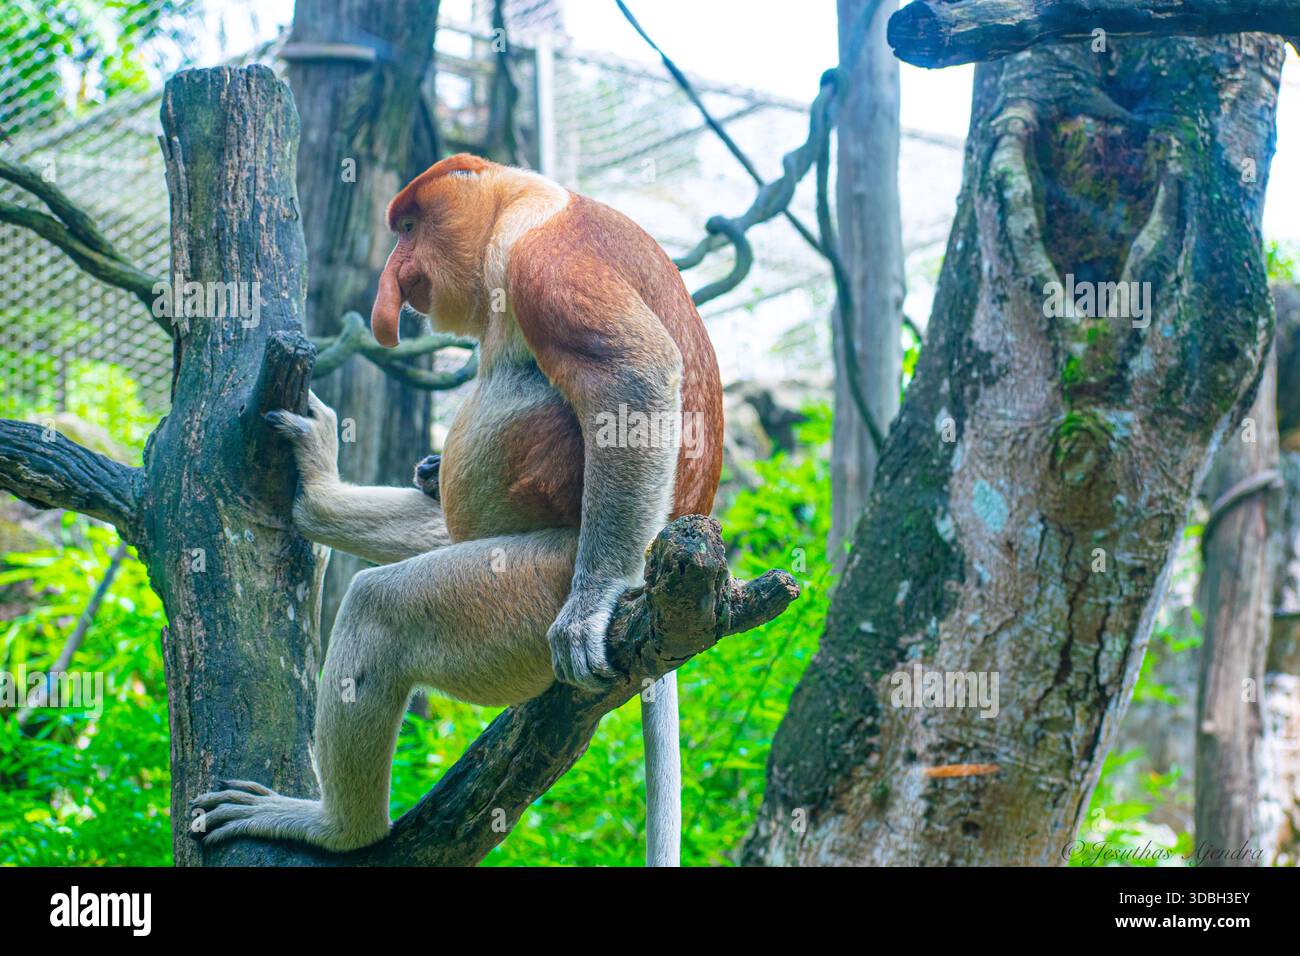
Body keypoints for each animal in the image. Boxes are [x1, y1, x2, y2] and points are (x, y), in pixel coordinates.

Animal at [191, 153, 724, 866]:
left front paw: (587, 615)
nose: (395, 276)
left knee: (381, 611)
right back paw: (320, 497)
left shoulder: (540, 253)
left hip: (530, 589)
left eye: (409, 227)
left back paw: (336, 827)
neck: (519, 201)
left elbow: (631, 378)